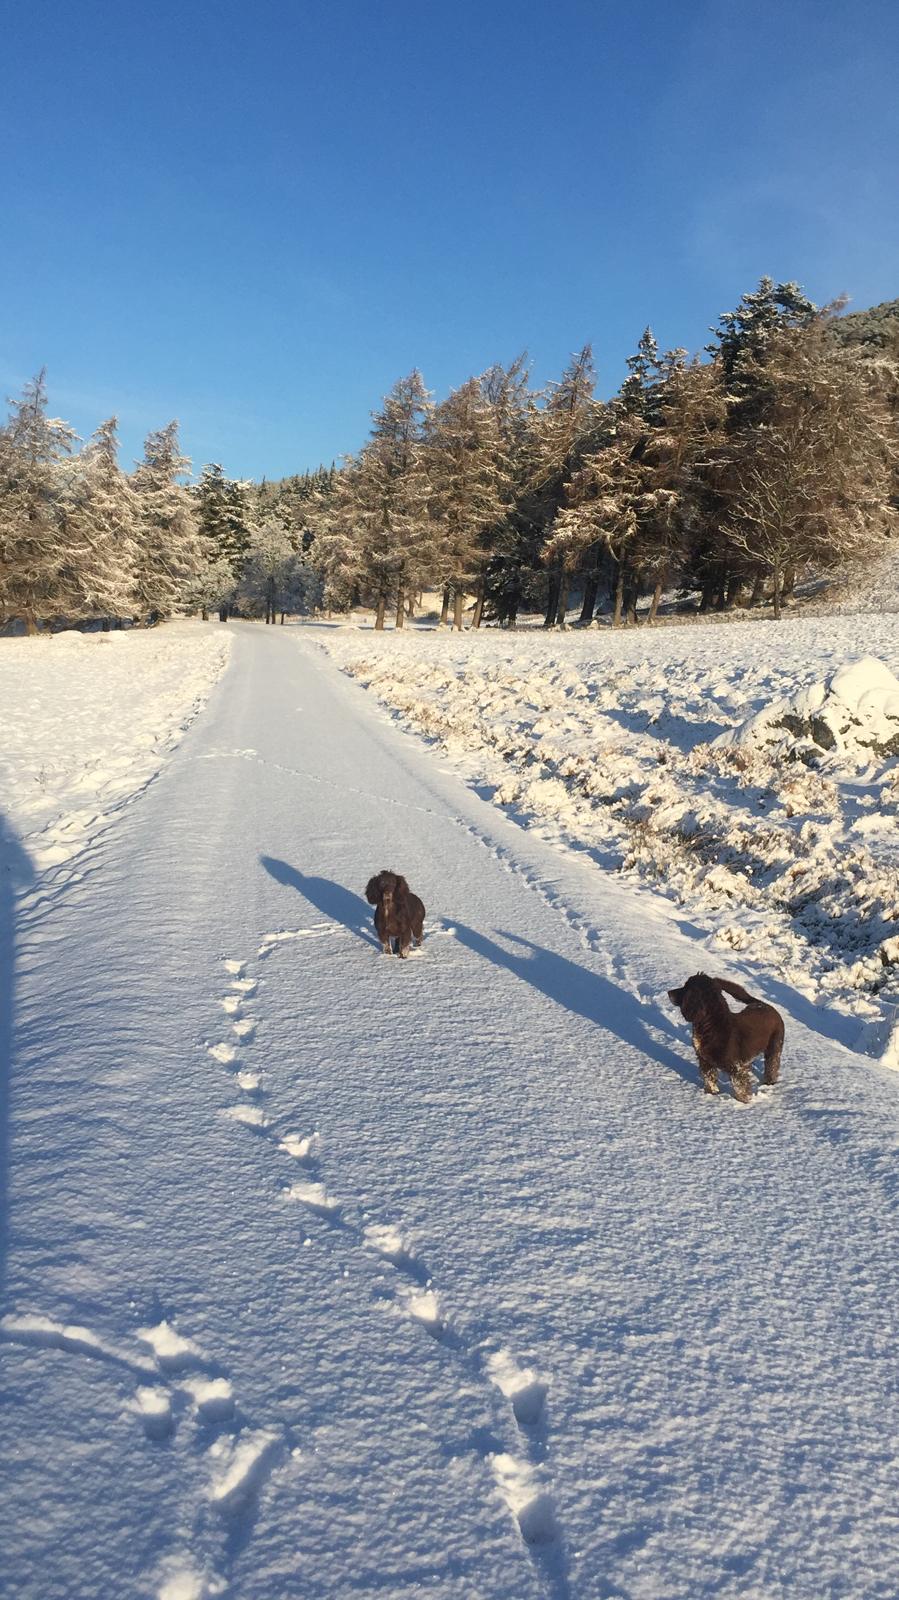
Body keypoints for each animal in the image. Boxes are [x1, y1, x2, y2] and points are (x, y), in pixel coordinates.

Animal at [662, 966, 780, 1107]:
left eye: (686, 987)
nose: (668, 992)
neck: (711, 1024)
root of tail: (763, 1004)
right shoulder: (705, 1061)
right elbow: (710, 1081)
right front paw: (712, 1095)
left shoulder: (737, 1068)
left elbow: (741, 1090)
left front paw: (744, 1103)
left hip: (774, 1047)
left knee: (772, 1066)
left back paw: (769, 1082)